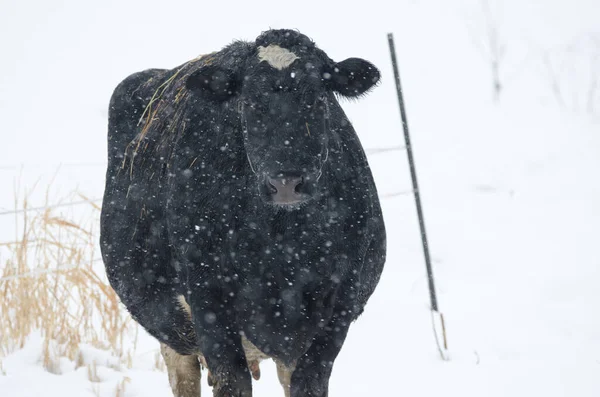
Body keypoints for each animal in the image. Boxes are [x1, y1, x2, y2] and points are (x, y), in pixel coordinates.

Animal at [101, 28, 386, 396]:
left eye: (319, 99)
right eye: (249, 103)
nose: (286, 183)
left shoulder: (340, 304)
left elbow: (309, 381)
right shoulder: (208, 302)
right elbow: (232, 381)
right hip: (173, 333)